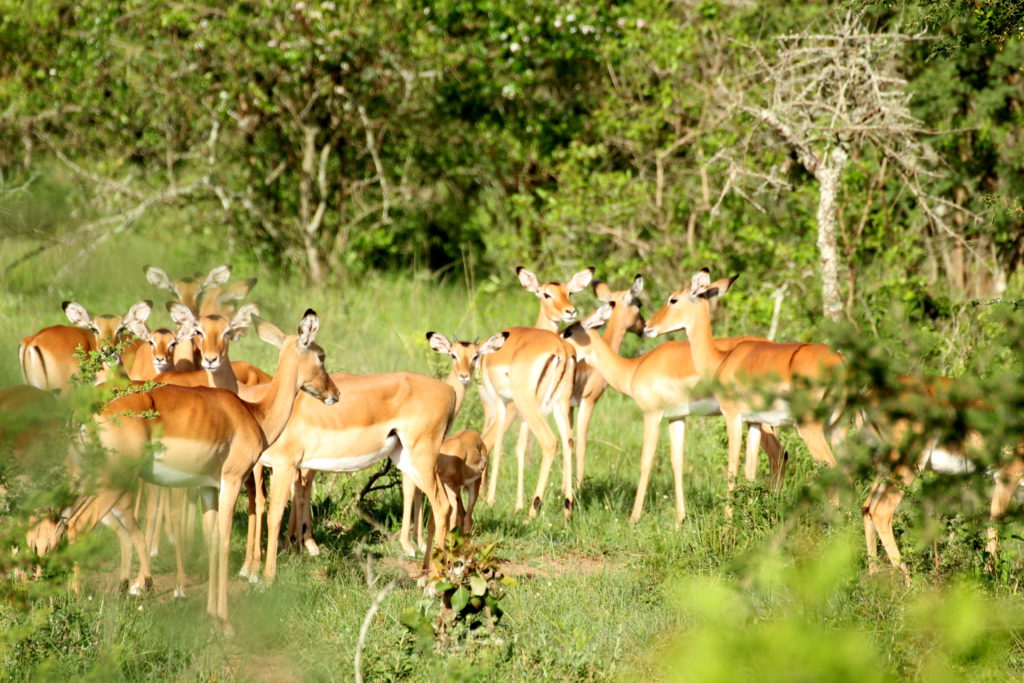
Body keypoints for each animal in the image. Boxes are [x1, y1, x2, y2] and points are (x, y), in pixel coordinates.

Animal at [643, 270, 843, 516]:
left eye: (673, 299)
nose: (647, 325)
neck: (721, 359)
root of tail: (838, 361)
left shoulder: (732, 416)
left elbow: (732, 470)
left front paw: (729, 519)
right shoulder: (754, 423)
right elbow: (750, 472)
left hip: (811, 427)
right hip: (839, 424)